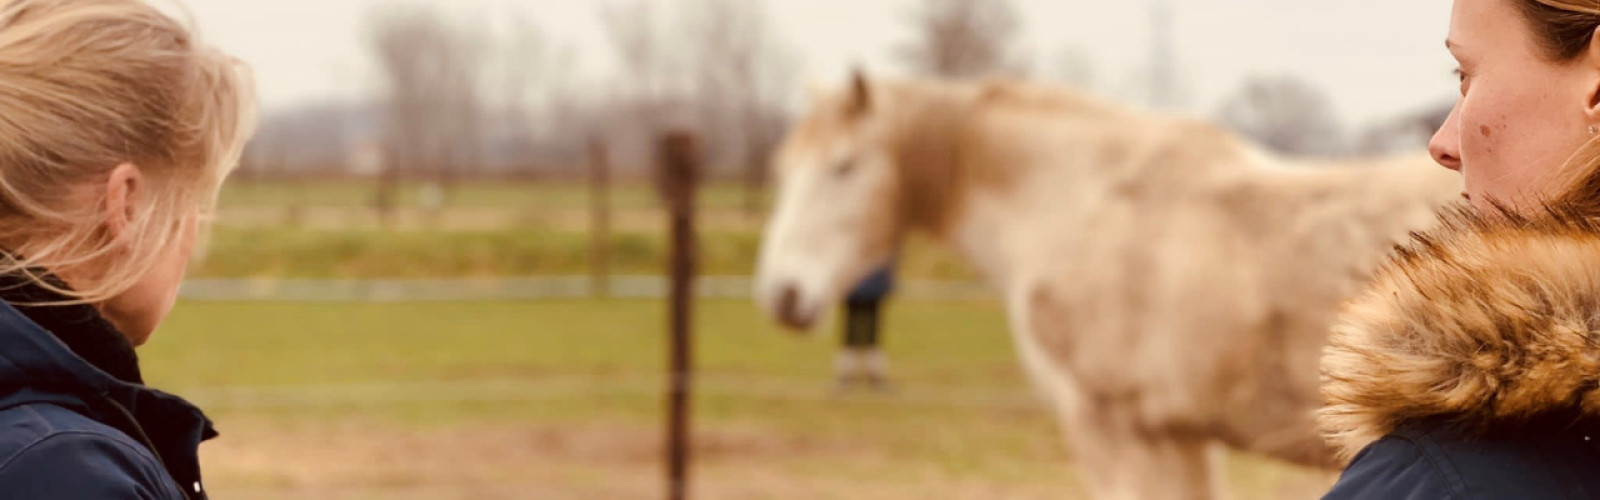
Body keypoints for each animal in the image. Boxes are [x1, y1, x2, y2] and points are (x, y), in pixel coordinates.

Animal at [753, 71, 1461, 499]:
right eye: (782, 168)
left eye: (844, 167)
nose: (782, 295)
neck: (1076, 202)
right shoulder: (1178, 437)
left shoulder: (1115, 431)